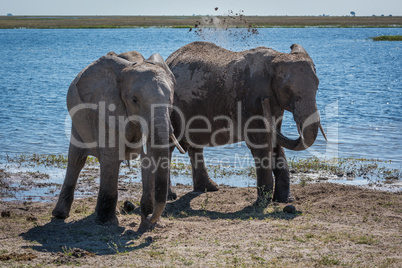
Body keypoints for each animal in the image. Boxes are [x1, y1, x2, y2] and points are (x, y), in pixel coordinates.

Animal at [51, 50, 185, 230]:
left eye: (170, 99)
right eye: (134, 100)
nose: (151, 217)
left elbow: (148, 158)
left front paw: (148, 224)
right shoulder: (106, 109)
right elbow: (111, 158)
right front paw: (107, 223)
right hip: (77, 123)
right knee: (76, 160)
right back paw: (60, 215)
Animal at [166, 42, 326, 204]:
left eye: (318, 86)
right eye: (287, 90)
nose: (265, 102)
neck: (277, 58)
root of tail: (169, 59)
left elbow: (276, 142)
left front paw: (285, 200)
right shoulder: (251, 102)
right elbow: (261, 144)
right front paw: (262, 202)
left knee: (195, 144)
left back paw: (209, 188)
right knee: (169, 146)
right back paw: (171, 196)